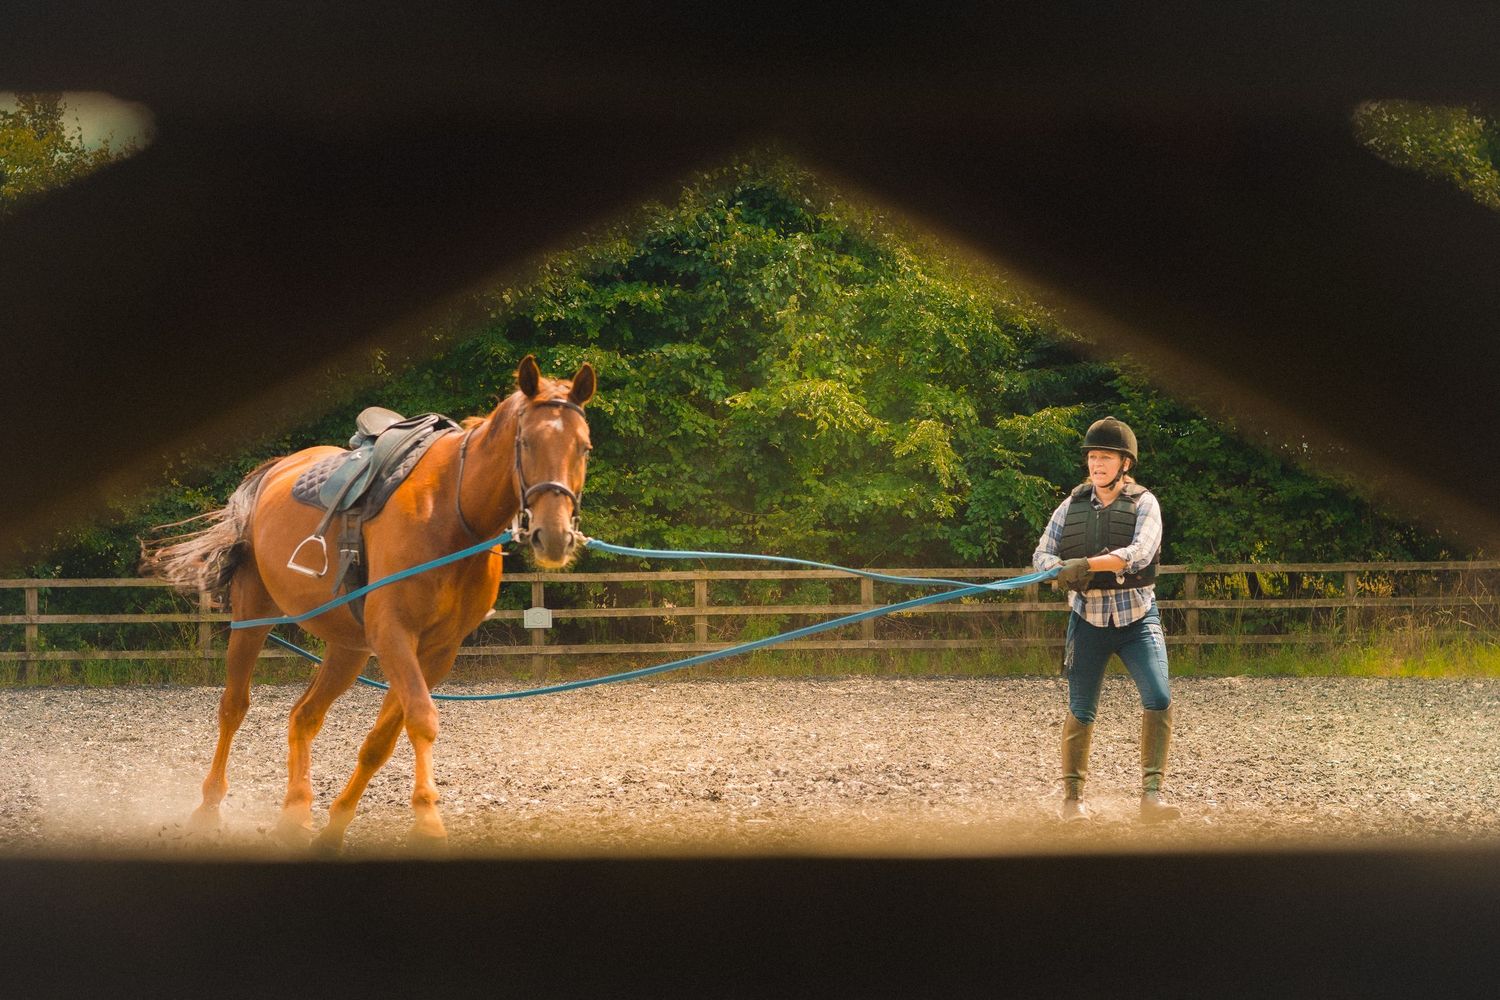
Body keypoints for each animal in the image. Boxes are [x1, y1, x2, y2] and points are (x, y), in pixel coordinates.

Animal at [141, 355, 594, 851]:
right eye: (526, 442)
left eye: (584, 448)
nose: (554, 536)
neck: (451, 512)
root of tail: (272, 472)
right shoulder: (394, 634)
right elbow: (422, 719)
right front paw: (428, 822)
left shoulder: (437, 651)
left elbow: (383, 740)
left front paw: (336, 827)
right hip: (253, 618)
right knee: (234, 707)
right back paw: (208, 807)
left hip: (347, 647)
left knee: (304, 716)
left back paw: (296, 811)